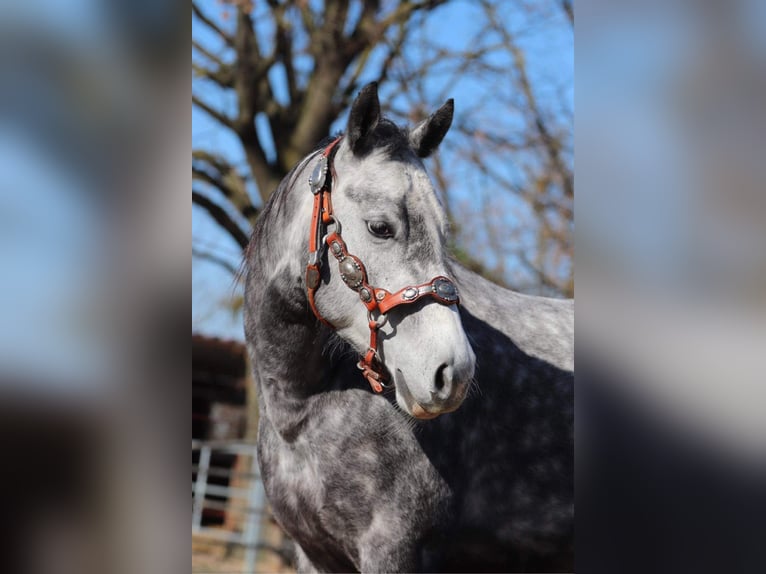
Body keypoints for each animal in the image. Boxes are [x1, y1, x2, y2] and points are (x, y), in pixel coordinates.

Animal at [243, 82, 573, 572]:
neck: (303, 407)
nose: (453, 373)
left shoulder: (394, 548)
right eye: (381, 227)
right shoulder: (315, 555)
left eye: (443, 232)